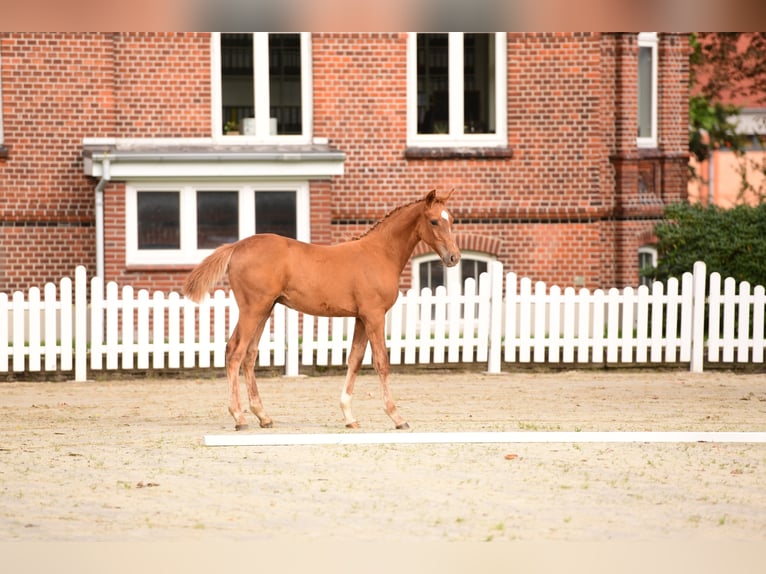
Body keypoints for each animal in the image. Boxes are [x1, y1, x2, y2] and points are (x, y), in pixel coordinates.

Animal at [182, 189, 460, 430]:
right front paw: (397, 417)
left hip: (264, 310)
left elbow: (355, 360)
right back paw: (239, 417)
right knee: (235, 352)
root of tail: (237, 246)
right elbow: (382, 362)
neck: (380, 253)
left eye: (452, 219)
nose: (454, 257)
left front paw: (349, 416)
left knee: (249, 355)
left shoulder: (361, 318)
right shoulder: (374, 316)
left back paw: (263, 416)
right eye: (434, 221)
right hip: (253, 309)